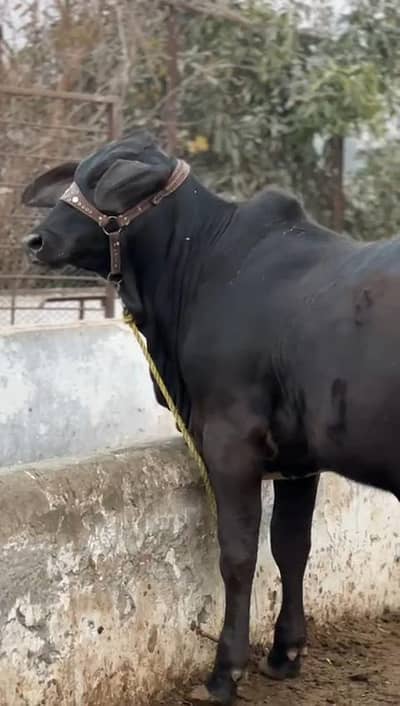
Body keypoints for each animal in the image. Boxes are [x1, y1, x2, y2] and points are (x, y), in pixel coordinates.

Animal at [22, 131, 399, 705]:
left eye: (102, 178)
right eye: (79, 171)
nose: (38, 239)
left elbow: (239, 553)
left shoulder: (230, 439)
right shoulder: (300, 458)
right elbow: (292, 545)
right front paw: (285, 654)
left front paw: (226, 672)